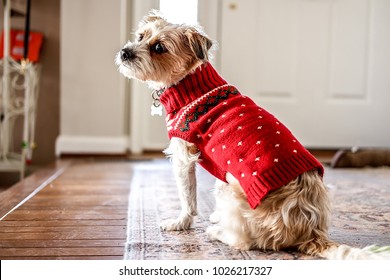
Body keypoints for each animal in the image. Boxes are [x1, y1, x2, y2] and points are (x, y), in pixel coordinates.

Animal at [116, 10, 390, 260]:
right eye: (140, 36)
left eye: (159, 47)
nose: (125, 52)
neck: (192, 85)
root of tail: (310, 231)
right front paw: (212, 216)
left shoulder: (185, 158)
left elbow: (188, 197)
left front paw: (181, 222)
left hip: (233, 189)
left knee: (244, 242)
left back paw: (217, 232)